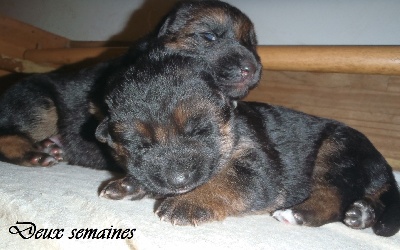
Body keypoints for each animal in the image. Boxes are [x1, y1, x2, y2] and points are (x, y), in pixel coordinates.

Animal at [97, 42, 400, 237]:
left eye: (200, 131)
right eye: (139, 145)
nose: (179, 181)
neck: (231, 130)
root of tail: (383, 165)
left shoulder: (259, 166)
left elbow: (227, 180)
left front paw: (189, 202)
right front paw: (128, 184)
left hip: (336, 150)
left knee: (334, 198)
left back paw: (297, 214)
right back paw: (362, 214)